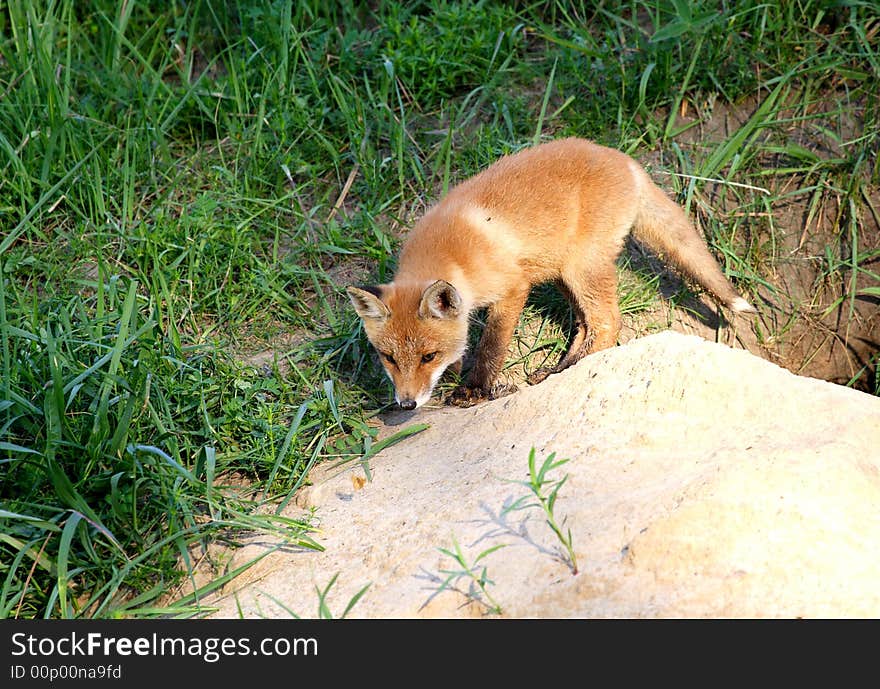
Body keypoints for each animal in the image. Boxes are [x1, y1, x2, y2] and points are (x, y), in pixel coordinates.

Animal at [348, 140, 752, 408]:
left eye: (427, 356)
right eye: (389, 358)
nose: (406, 404)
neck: (452, 250)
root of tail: (623, 158)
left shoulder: (513, 288)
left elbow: (492, 345)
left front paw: (474, 388)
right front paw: (457, 368)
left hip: (582, 268)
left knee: (608, 322)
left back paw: (564, 371)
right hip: (564, 274)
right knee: (587, 325)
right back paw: (559, 369)